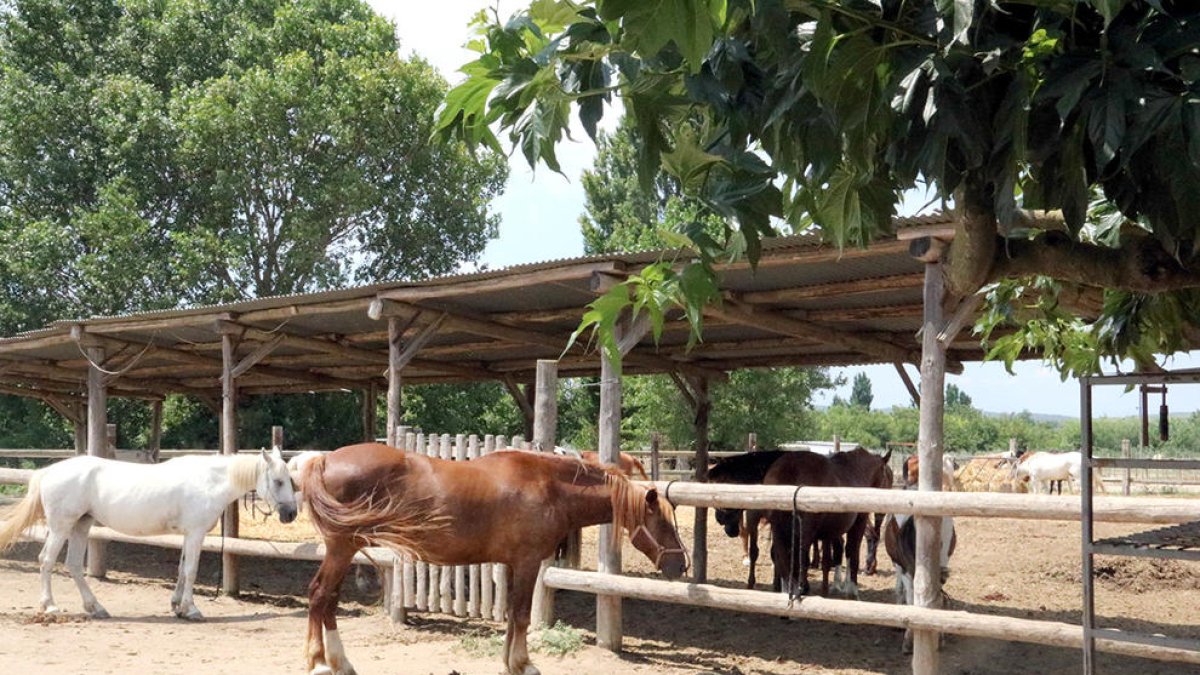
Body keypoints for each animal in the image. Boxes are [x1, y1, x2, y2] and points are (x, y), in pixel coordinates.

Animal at [0, 444, 297, 619]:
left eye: (290, 480)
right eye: (278, 481)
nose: (291, 514)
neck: (209, 481)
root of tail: (48, 472)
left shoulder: (187, 535)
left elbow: (181, 569)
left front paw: (177, 606)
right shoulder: (196, 533)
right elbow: (191, 571)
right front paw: (191, 609)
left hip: (81, 526)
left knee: (72, 565)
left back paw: (96, 608)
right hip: (62, 526)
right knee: (46, 561)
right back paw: (50, 606)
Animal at [297, 441, 686, 672]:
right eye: (665, 523)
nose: (681, 565)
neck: (549, 487)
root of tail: (325, 459)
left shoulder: (513, 564)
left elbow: (513, 616)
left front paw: (508, 662)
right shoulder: (528, 563)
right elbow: (523, 615)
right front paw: (524, 664)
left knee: (328, 599)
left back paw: (337, 662)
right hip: (342, 546)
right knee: (320, 595)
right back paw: (321, 662)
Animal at [768, 446, 892, 593]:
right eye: (887, 477)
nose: (882, 511)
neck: (856, 471)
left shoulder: (831, 530)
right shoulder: (858, 522)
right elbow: (851, 552)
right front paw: (851, 587)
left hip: (779, 531)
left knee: (783, 561)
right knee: (799, 558)